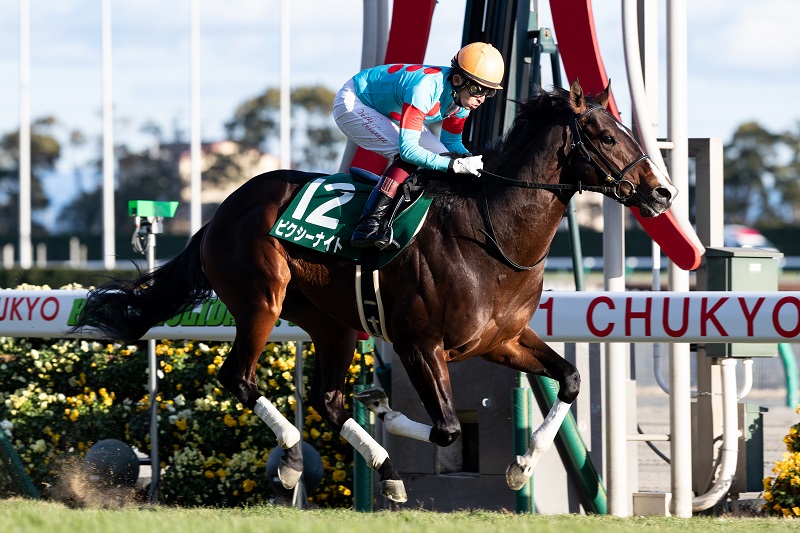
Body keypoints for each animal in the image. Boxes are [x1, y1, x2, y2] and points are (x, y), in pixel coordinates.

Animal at [70, 80, 676, 504]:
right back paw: (292, 459)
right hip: (262, 301)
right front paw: (386, 407)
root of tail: (220, 213)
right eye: (605, 136)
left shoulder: (500, 339)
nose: (663, 193)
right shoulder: (419, 345)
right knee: (239, 378)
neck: (491, 231)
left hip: (331, 323)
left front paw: (521, 466)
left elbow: (569, 378)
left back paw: (384, 471)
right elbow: (446, 428)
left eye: (628, 130)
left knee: (329, 400)